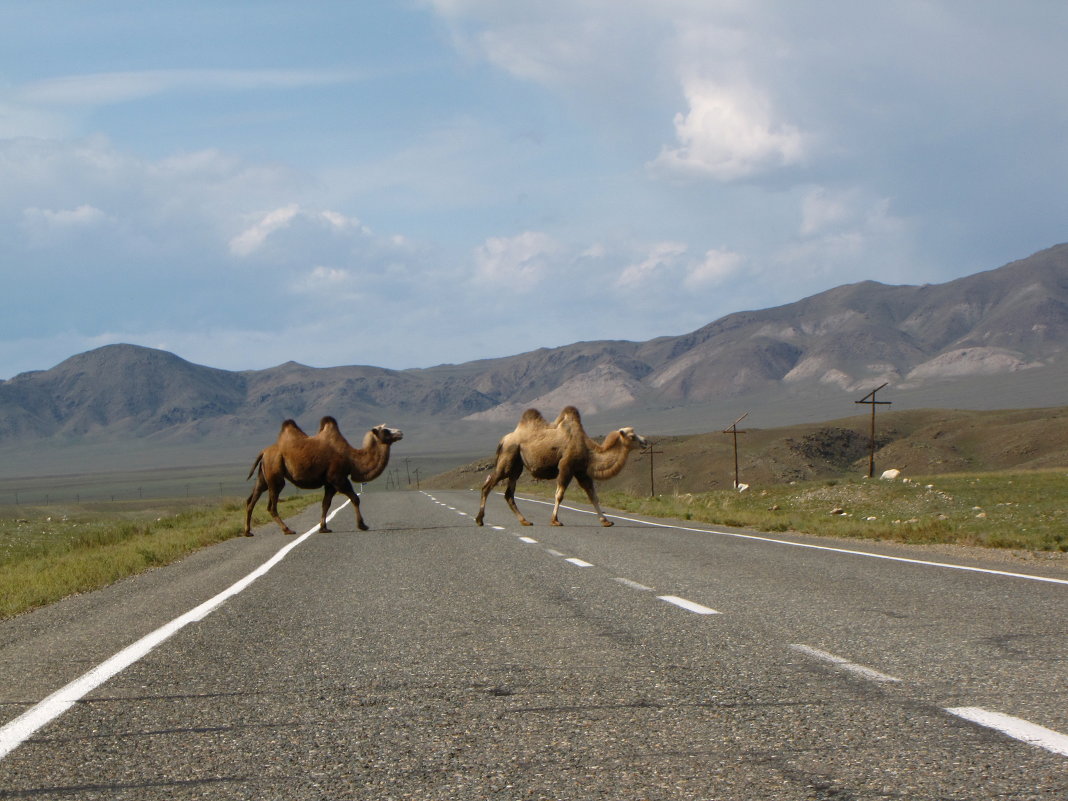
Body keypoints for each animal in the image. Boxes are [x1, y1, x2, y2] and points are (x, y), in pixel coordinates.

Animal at [244, 416, 401, 536]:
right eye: (385, 430)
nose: (400, 432)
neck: (352, 459)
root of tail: (264, 452)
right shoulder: (337, 478)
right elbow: (355, 499)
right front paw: (362, 525)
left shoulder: (329, 483)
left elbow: (326, 504)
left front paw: (324, 528)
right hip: (275, 474)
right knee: (271, 505)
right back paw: (287, 529)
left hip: (263, 476)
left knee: (251, 500)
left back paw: (248, 532)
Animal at [474, 407, 640, 527]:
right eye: (632, 436)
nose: (644, 442)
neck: (588, 450)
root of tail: (503, 440)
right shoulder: (567, 466)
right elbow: (559, 495)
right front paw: (555, 520)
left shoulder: (580, 471)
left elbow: (593, 495)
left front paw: (606, 521)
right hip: (509, 456)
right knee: (488, 485)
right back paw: (479, 520)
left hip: (517, 466)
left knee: (509, 493)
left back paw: (525, 521)